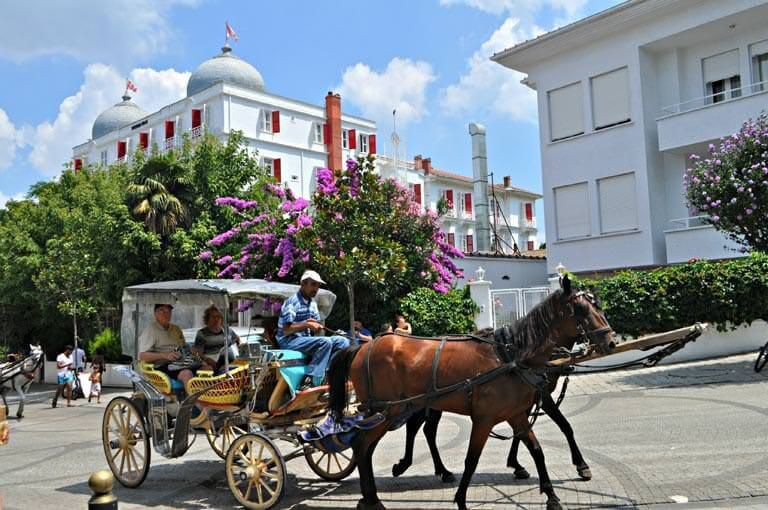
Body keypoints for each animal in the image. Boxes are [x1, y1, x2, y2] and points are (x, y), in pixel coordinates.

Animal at [328, 274, 616, 510]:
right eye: (581, 309)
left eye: (599, 306)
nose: (611, 340)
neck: (511, 356)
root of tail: (363, 347)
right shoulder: (485, 418)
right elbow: (472, 459)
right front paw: (462, 500)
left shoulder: (517, 413)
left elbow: (536, 450)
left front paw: (551, 494)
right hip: (387, 411)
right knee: (363, 444)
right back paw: (373, 497)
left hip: (400, 409)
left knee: (382, 443)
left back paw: (381, 490)